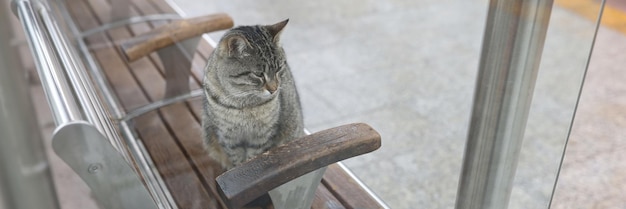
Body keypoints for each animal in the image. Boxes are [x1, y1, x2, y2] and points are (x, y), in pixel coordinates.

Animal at [201, 19, 304, 170]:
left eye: (279, 69)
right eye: (258, 74)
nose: (274, 89)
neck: (243, 104)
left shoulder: (262, 136)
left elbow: (253, 158)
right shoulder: (228, 136)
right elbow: (236, 159)